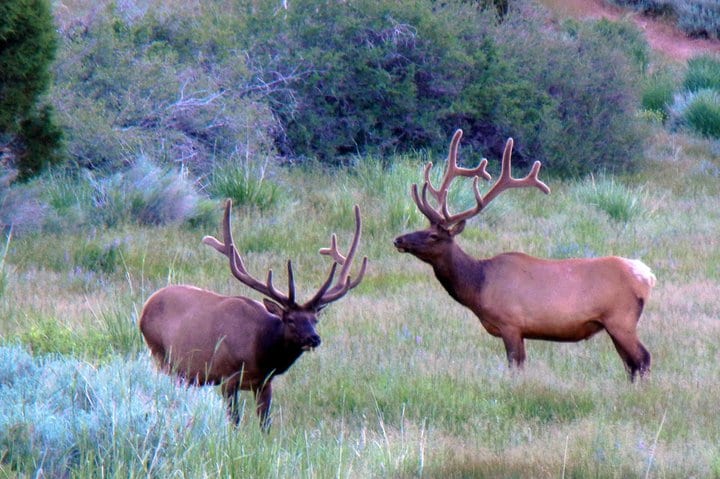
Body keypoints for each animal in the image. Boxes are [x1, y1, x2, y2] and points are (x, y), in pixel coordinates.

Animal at [139, 200, 368, 432]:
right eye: (291, 320)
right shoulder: (228, 375)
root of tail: (146, 306)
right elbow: (234, 420)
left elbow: (265, 424)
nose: (314, 338)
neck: (260, 352)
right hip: (160, 354)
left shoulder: (264, 383)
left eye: (315, 320)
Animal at [396, 129, 656, 380]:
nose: (399, 239)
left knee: (643, 358)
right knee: (631, 365)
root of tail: (647, 276)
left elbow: (515, 365)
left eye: (433, 236)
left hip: (621, 319)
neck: (478, 286)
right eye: (424, 227)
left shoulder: (510, 323)